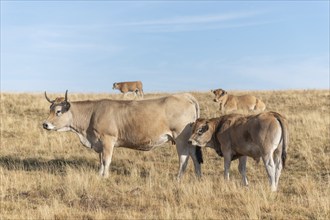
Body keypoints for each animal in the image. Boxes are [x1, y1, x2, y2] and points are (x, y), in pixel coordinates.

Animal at [43, 90, 204, 179]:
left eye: (58, 111)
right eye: (50, 109)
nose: (45, 124)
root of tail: (185, 96)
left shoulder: (108, 140)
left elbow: (106, 160)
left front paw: (105, 176)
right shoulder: (99, 143)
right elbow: (100, 160)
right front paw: (99, 174)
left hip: (180, 138)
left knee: (184, 158)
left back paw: (178, 178)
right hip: (189, 141)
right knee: (195, 157)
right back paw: (198, 177)